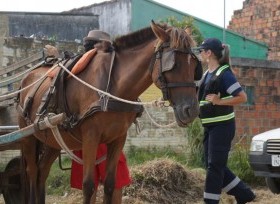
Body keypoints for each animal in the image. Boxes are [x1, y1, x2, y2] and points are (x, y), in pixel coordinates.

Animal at [16, 21, 201, 203]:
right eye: (174, 64)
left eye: (194, 65)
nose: (191, 110)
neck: (112, 86)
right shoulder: (90, 137)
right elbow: (89, 185)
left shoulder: (118, 138)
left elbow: (110, 183)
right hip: (28, 136)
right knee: (32, 171)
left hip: (53, 140)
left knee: (42, 172)